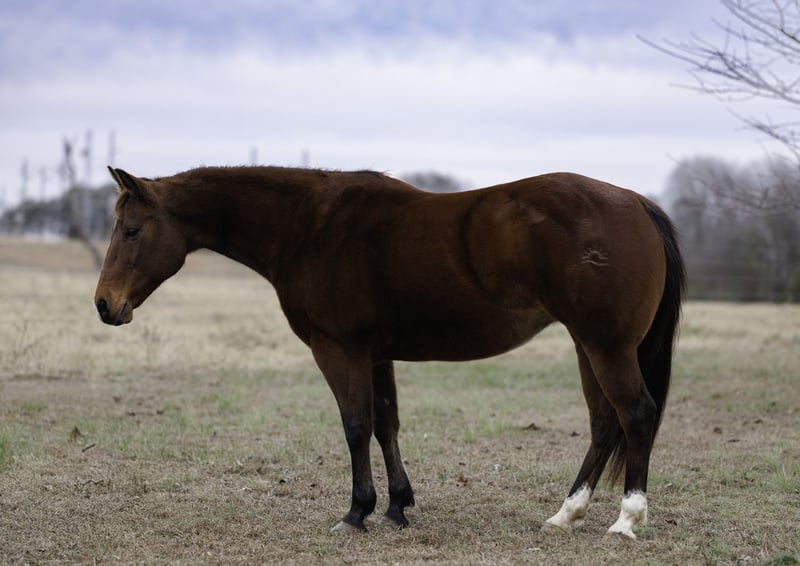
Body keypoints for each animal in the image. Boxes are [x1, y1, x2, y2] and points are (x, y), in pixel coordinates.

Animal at [94, 165, 685, 540]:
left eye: (132, 230)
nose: (104, 305)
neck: (310, 227)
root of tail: (636, 202)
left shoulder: (339, 350)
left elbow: (356, 426)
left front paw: (357, 513)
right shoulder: (375, 355)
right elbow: (385, 425)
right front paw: (398, 506)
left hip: (607, 346)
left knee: (636, 415)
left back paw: (626, 519)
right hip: (589, 346)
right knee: (605, 424)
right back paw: (567, 514)